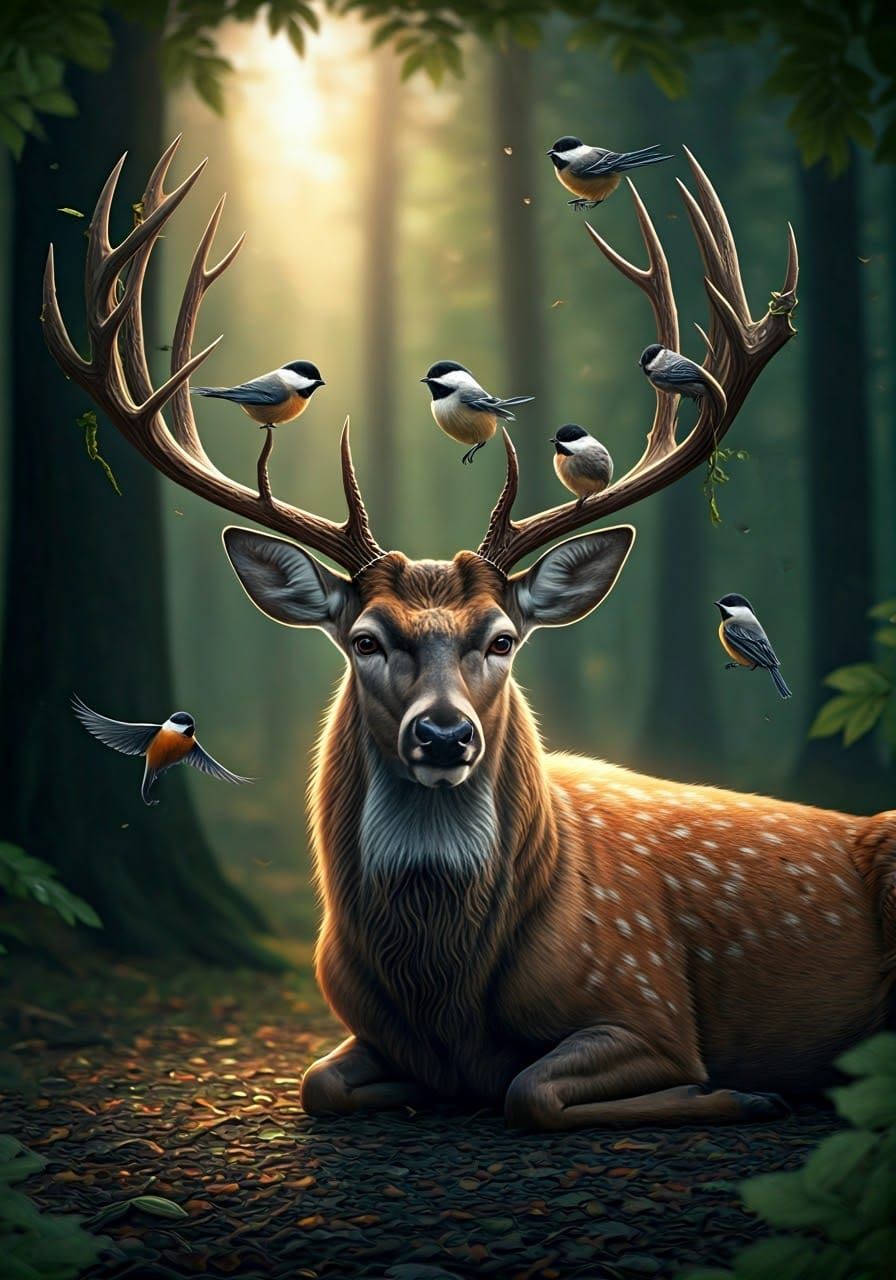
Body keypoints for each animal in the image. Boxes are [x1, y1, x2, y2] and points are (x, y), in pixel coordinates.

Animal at [43, 139, 896, 1130]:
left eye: (502, 640)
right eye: (365, 640)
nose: (445, 735)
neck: (445, 989)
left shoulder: (647, 997)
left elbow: (531, 1090)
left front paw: (740, 1090)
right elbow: (319, 1083)